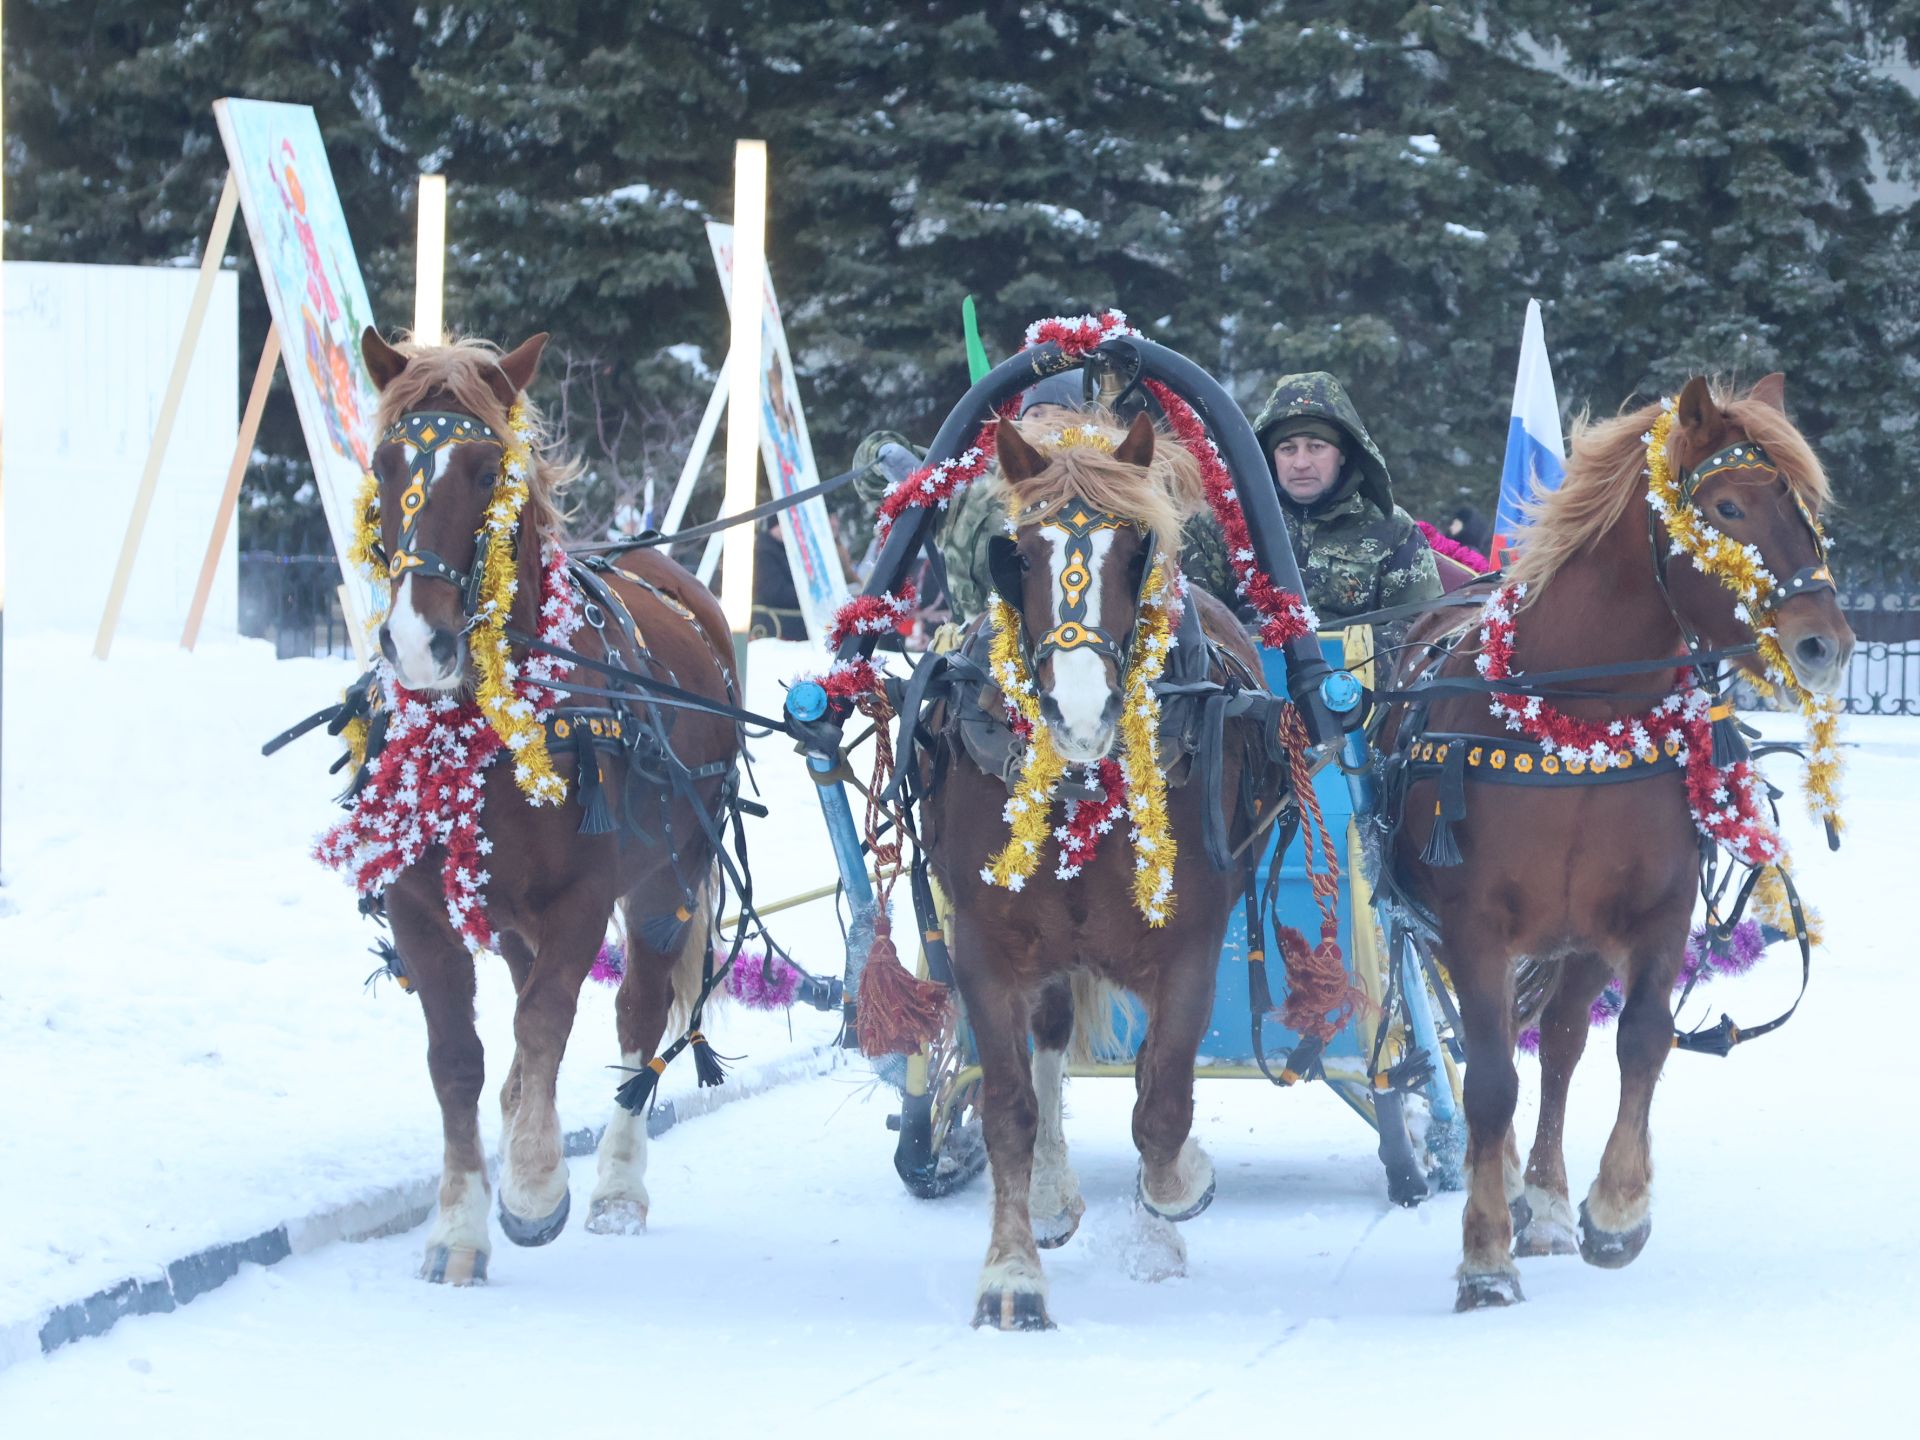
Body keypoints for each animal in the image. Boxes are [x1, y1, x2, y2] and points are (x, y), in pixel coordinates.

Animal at [349, 330, 737, 1282]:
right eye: (384, 463)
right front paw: (458, 1226)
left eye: (486, 468)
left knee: (634, 1012)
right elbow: (459, 1058)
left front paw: (531, 1187)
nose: (417, 641)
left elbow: (549, 1021)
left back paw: (617, 1188)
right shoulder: (419, 905)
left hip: (671, 876)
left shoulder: (582, 900)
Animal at [917, 407, 1274, 1328]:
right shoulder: (984, 946)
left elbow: (1164, 1102)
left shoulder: (1188, 944)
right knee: (1048, 1045)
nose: (1080, 713)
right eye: (1017, 552)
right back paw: (1050, 1196)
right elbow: (1008, 1110)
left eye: (1136, 549)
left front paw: (1176, 1199)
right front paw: (1011, 1276)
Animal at [1390, 378, 1850, 1313]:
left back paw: (1545, 1204)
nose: (1826, 644)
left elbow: (1641, 1040)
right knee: (1501, 1055)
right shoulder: (1472, 924)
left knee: (1563, 1045)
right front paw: (1484, 1257)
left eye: (1806, 508)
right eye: (1727, 507)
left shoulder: (1654, 912)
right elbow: (1488, 1081)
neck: (1584, 719)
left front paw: (1615, 1209)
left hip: (1581, 940)